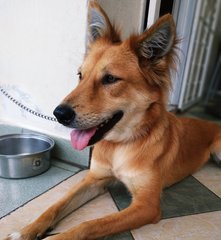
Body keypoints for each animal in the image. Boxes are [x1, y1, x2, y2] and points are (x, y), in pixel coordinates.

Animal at [6, 1, 221, 240]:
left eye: (110, 79)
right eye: (80, 75)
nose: (58, 114)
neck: (120, 145)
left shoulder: (146, 205)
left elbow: (89, 225)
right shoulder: (94, 180)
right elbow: (54, 206)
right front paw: (26, 230)